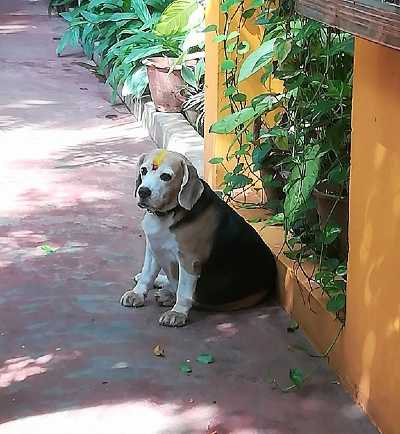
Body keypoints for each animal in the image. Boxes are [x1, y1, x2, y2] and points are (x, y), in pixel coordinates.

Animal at [119, 149, 276, 326]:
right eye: (143, 170)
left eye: (166, 176)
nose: (143, 191)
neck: (168, 214)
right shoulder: (154, 248)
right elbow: (147, 275)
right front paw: (137, 293)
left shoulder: (189, 260)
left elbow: (183, 291)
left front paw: (178, 313)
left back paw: (168, 295)